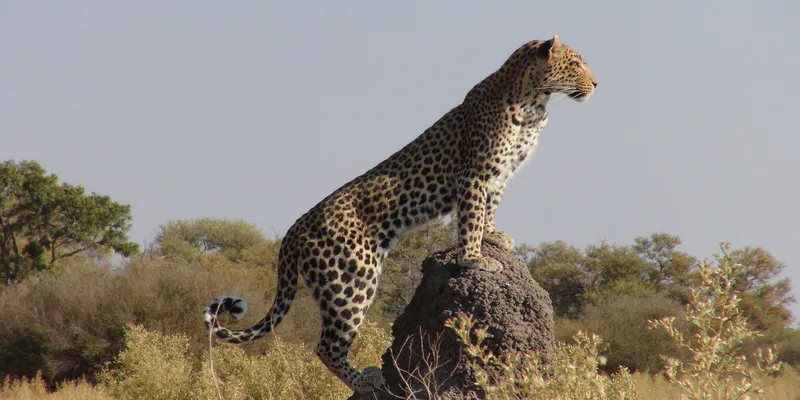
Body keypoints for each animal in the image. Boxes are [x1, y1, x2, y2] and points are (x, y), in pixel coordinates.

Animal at [203, 35, 597, 394]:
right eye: (576, 64)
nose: (596, 84)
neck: (534, 103)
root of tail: (292, 232)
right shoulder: (473, 174)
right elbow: (470, 218)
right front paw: (474, 258)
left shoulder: (498, 175)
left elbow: (488, 210)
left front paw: (493, 238)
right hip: (352, 281)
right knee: (326, 346)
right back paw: (366, 381)